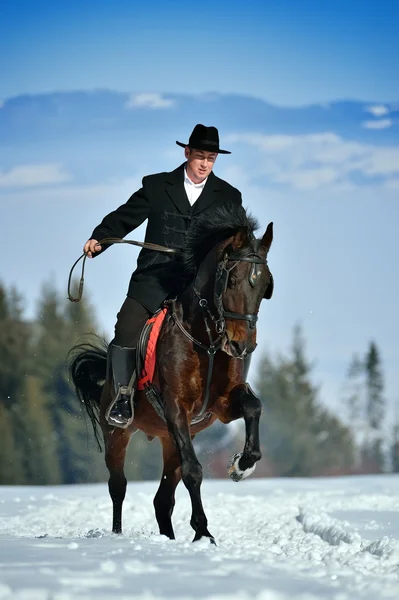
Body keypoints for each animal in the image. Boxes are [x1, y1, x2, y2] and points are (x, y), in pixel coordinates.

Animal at [69, 204, 276, 548]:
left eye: (264, 286)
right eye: (232, 280)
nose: (241, 345)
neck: (206, 340)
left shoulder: (221, 404)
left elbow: (253, 406)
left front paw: (242, 465)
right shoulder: (176, 407)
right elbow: (194, 471)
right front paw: (203, 532)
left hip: (170, 440)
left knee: (162, 499)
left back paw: (168, 537)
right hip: (117, 434)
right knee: (118, 486)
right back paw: (117, 534)